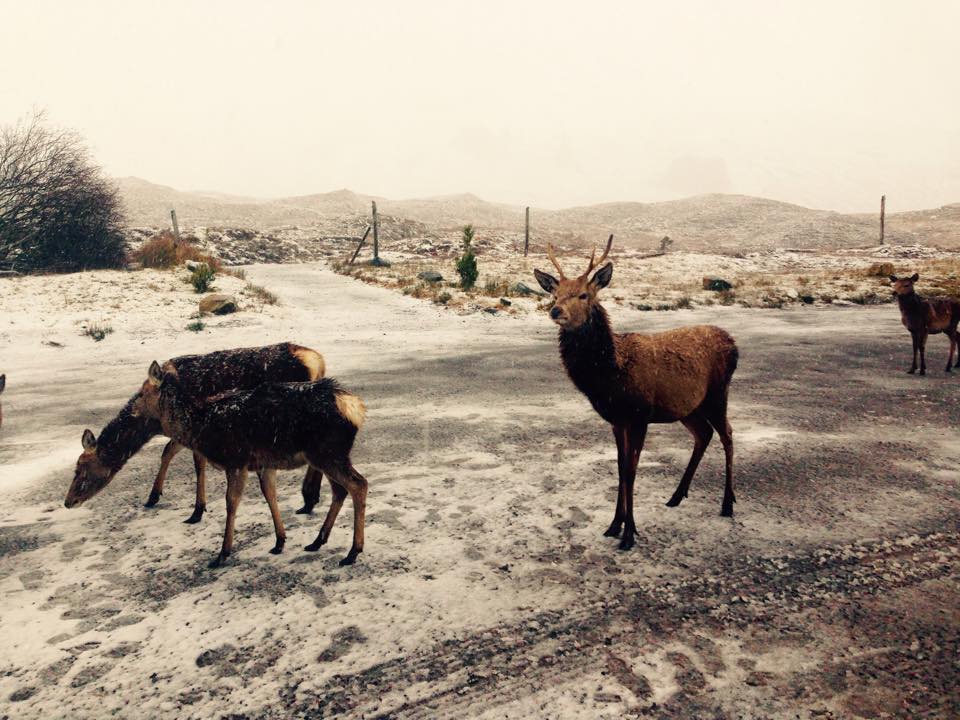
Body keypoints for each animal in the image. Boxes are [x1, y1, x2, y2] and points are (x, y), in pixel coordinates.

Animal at [65, 343, 326, 522]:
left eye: (81, 468)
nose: (69, 501)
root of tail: (318, 361)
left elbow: (192, 460)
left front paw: (196, 509)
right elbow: (169, 452)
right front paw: (155, 496)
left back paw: (309, 497)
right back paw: (310, 498)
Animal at [136, 359, 369, 568]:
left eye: (141, 393)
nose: (132, 410)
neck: (202, 426)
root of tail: (355, 407)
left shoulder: (236, 460)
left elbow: (231, 502)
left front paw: (222, 554)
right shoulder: (264, 464)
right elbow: (269, 494)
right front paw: (279, 541)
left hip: (328, 453)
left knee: (359, 484)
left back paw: (352, 552)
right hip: (326, 456)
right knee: (340, 490)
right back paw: (318, 541)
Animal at [533, 235, 739, 551]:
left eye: (583, 295)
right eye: (554, 294)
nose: (556, 311)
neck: (613, 374)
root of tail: (734, 343)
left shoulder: (640, 415)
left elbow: (631, 471)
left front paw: (629, 533)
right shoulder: (617, 420)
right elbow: (620, 469)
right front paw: (614, 525)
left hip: (718, 393)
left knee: (727, 434)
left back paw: (728, 504)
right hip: (688, 406)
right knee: (704, 434)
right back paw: (676, 496)